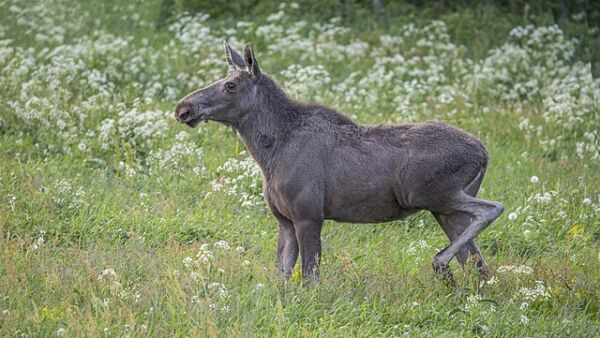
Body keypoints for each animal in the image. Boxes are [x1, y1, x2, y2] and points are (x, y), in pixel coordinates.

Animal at [173, 42, 502, 286]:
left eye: (230, 85)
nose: (183, 107)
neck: (269, 153)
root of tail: (484, 153)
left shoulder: (309, 215)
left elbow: (309, 278)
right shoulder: (285, 221)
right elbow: (280, 276)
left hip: (428, 194)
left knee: (492, 210)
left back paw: (439, 263)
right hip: (444, 210)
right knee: (477, 261)